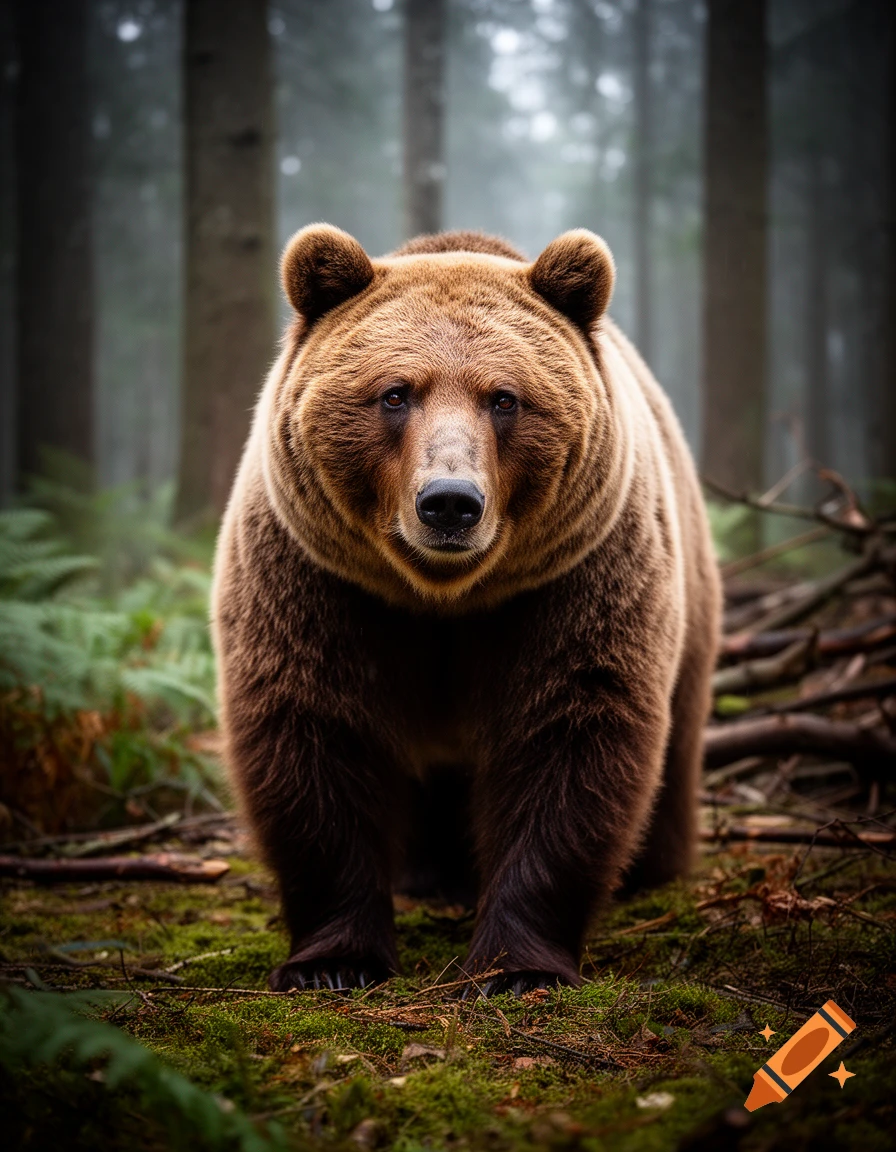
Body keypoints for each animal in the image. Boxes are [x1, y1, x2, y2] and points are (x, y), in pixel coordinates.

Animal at [211, 224, 722, 994]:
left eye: (504, 398)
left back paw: (648, 868)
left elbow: (569, 735)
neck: (445, 596)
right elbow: (314, 733)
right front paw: (333, 960)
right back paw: (430, 877)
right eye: (395, 393)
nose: (449, 501)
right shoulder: (318, 582)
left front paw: (518, 966)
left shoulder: (571, 583)